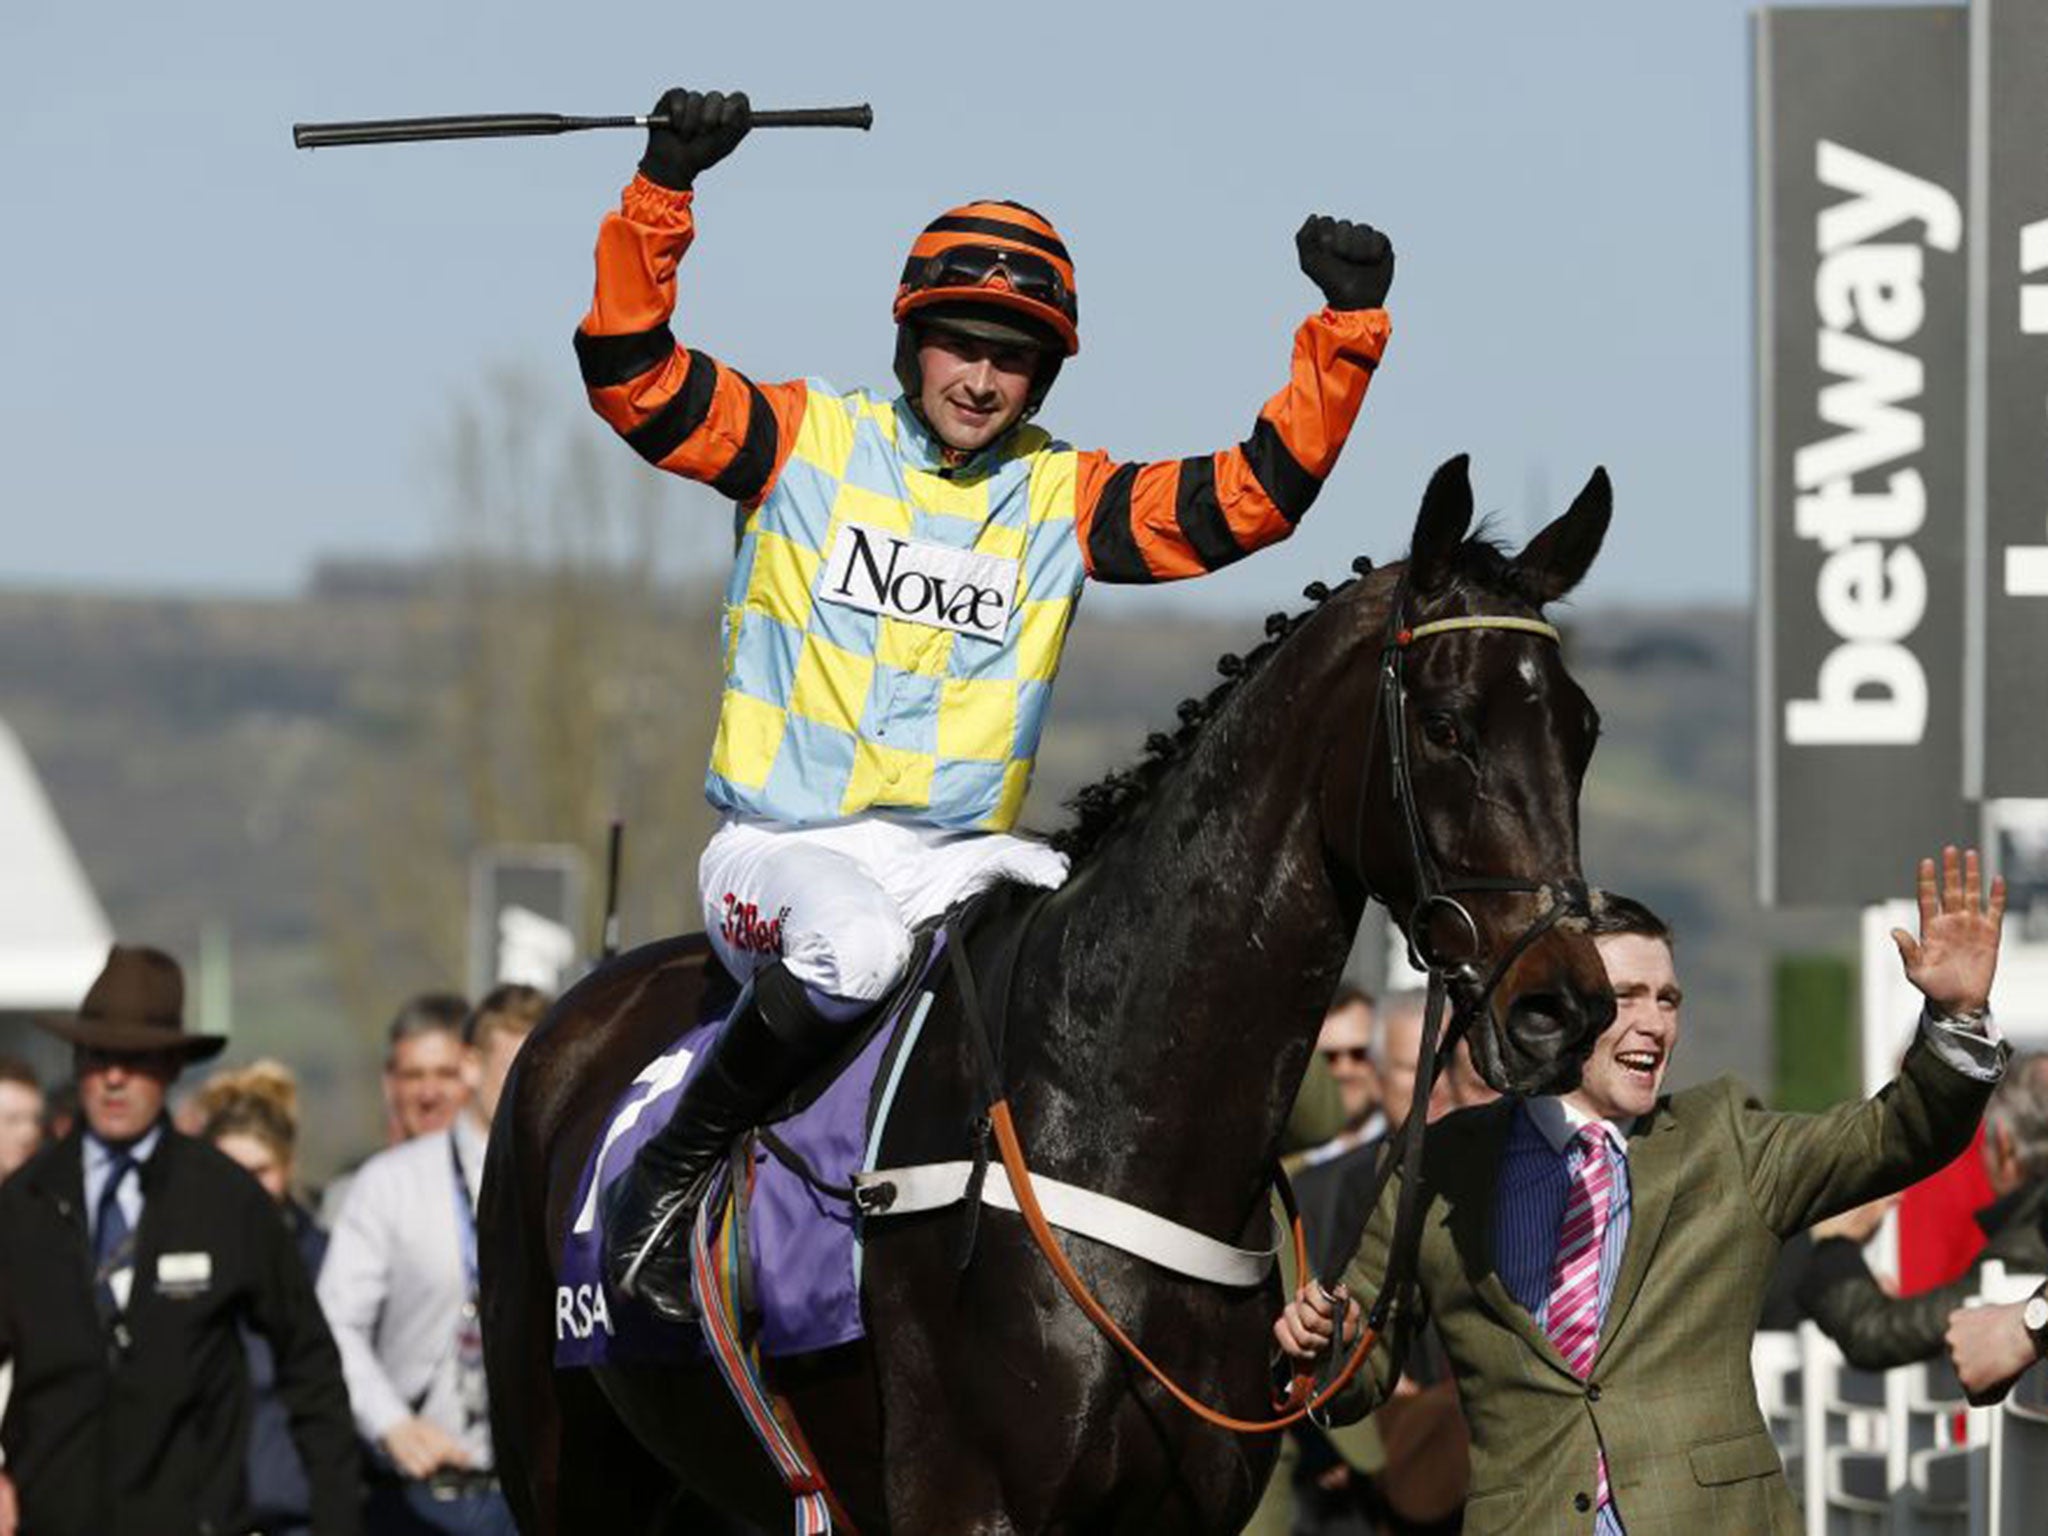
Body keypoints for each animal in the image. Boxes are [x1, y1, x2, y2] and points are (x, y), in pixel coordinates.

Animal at [479, 456, 1613, 1536]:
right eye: (1446, 726)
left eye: (1583, 729)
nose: (1563, 1009)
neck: (1115, 1115)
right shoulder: (968, 1502)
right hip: (563, 1462)